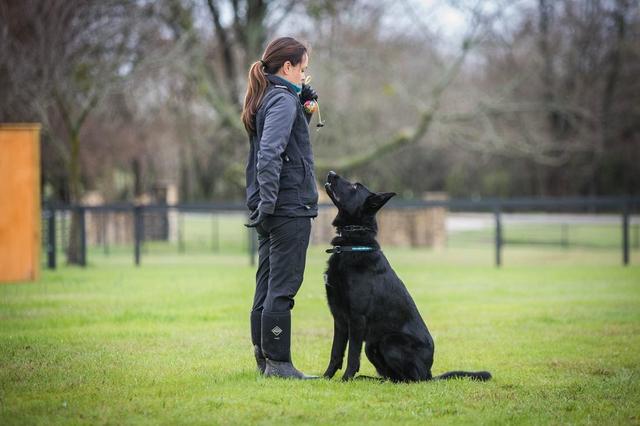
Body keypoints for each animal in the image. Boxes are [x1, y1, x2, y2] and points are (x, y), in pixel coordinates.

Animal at [322, 171, 492, 382]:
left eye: (354, 187)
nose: (331, 173)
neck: (352, 243)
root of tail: (429, 373)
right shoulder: (339, 319)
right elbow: (336, 352)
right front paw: (326, 378)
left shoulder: (357, 319)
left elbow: (352, 355)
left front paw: (346, 379)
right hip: (371, 346)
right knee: (393, 377)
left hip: (389, 341)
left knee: (412, 379)